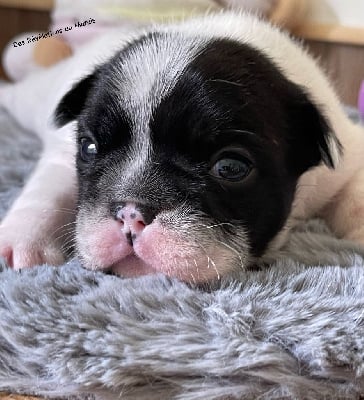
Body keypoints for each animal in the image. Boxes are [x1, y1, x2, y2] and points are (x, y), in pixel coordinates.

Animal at [0, 11, 364, 282]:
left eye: (230, 167)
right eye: (89, 148)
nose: (130, 213)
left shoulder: (347, 156)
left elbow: (355, 194)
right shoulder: (62, 154)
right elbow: (47, 192)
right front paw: (22, 239)